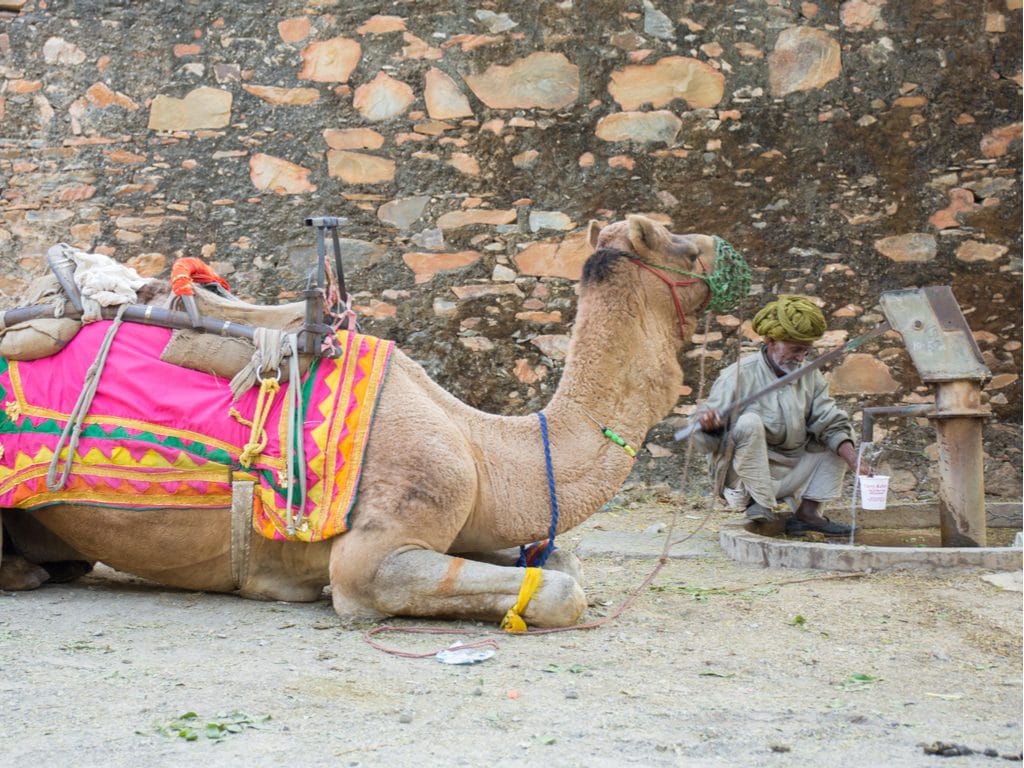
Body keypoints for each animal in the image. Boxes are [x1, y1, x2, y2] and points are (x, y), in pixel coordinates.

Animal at [0, 214, 741, 626]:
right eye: (678, 244)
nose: (723, 246)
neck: (483, 446)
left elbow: (560, 557)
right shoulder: (380, 547)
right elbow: (562, 590)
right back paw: (23, 575)